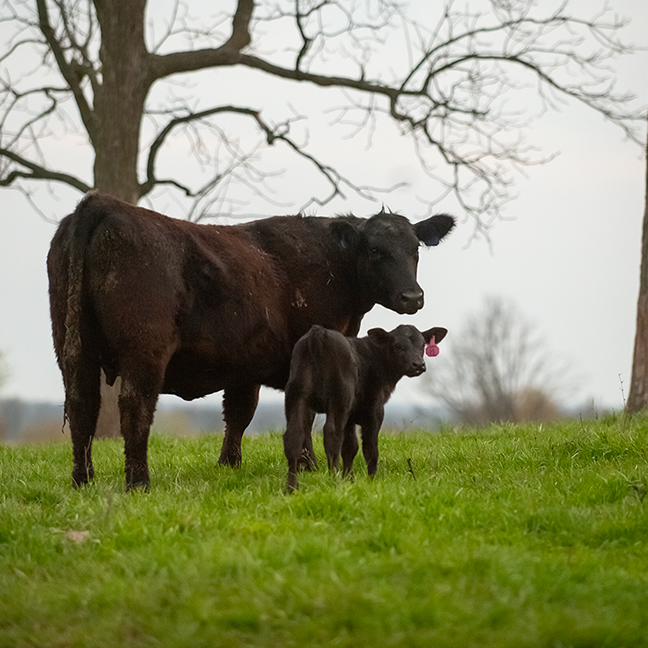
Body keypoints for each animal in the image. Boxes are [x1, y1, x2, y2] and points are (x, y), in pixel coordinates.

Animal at [283, 324, 447, 491]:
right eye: (397, 345)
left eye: (422, 345)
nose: (418, 364)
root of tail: (319, 331)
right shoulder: (374, 410)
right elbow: (370, 449)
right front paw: (371, 481)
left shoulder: (350, 416)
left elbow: (350, 447)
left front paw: (349, 480)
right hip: (339, 399)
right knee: (332, 434)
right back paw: (334, 480)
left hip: (296, 396)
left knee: (293, 436)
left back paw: (292, 488)